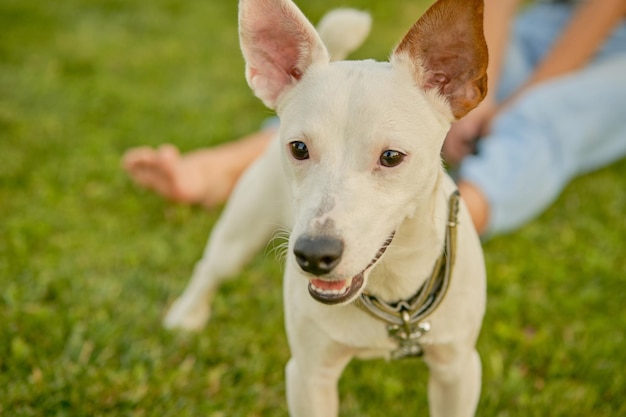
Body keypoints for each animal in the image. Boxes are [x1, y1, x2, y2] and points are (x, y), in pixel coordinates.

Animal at [165, 0, 488, 414]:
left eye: (391, 156)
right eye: (299, 148)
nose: (314, 255)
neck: (392, 294)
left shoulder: (457, 371)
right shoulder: (309, 375)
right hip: (240, 229)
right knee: (211, 268)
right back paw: (186, 315)